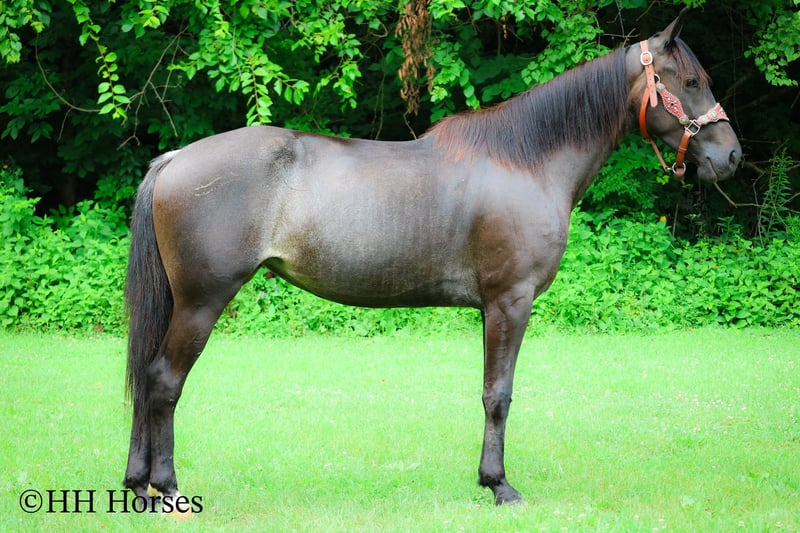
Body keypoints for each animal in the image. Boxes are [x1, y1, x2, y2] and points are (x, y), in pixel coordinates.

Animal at [123, 10, 741, 510]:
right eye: (690, 82)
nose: (731, 156)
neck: (526, 160)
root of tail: (175, 158)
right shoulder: (509, 302)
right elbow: (498, 394)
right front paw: (499, 485)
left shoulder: (494, 307)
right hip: (202, 302)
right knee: (164, 382)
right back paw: (168, 488)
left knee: (148, 378)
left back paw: (139, 486)